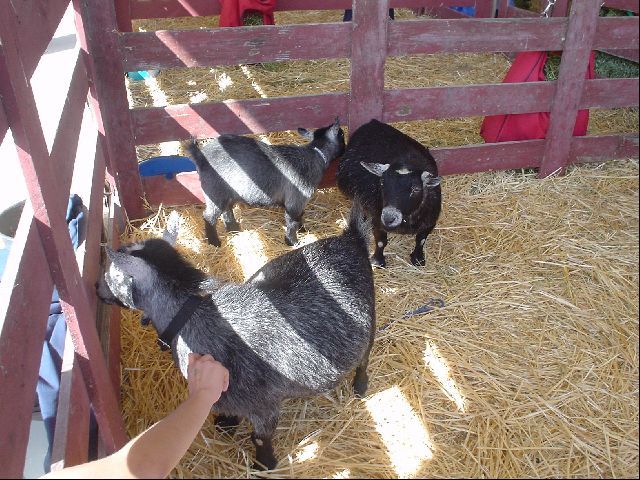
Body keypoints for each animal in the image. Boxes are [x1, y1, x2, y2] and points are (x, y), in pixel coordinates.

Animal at [96, 207, 375, 470]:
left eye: (111, 273)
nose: (97, 289)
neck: (191, 317)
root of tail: (351, 239)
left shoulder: (264, 405)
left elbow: (259, 438)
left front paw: (264, 464)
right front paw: (227, 422)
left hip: (369, 321)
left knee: (365, 356)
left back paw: (360, 385)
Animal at [187, 118, 345, 247]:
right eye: (342, 135)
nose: (346, 147)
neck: (315, 154)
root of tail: (200, 155)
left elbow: (300, 216)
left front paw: (303, 230)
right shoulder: (295, 200)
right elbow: (292, 221)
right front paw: (293, 241)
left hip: (227, 192)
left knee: (227, 210)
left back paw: (233, 230)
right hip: (214, 192)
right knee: (209, 217)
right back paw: (214, 242)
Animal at [337, 119, 442, 267]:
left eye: (416, 189)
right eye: (382, 183)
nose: (388, 218)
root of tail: (373, 122)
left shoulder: (431, 221)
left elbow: (421, 240)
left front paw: (418, 259)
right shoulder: (377, 220)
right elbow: (381, 242)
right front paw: (378, 261)